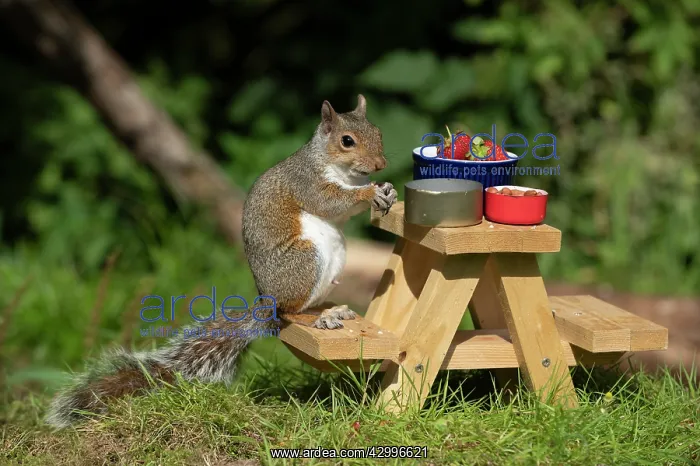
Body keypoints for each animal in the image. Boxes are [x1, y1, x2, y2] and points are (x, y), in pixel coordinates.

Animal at [45, 94, 398, 428]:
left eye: (379, 131)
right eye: (347, 140)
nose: (381, 164)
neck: (339, 169)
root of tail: (265, 304)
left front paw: (388, 190)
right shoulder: (307, 182)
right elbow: (329, 201)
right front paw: (369, 193)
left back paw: (331, 311)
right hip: (306, 260)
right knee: (288, 313)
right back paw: (314, 319)